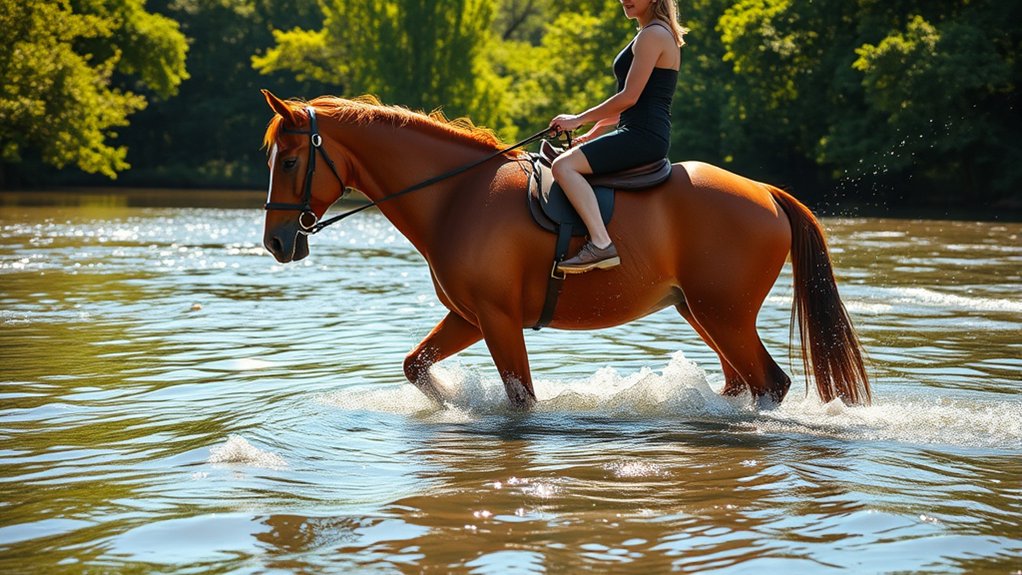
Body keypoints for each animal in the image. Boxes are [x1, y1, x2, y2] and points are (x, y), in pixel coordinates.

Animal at [259, 90, 871, 410]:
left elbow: (522, 400)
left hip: (725, 314)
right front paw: (452, 402)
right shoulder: (470, 315)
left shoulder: (498, 319)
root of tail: (765, 191)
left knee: (771, 384)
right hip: (703, 313)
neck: (456, 194)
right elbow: (416, 366)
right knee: (744, 383)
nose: (275, 242)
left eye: (288, 161)